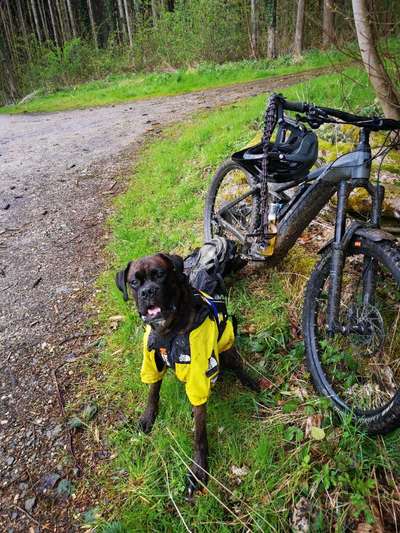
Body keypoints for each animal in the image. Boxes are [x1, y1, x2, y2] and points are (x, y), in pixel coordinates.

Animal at [115, 251, 260, 496]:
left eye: (160, 275)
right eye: (134, 282)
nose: (148, 292)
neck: (169, 331)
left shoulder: (198, 379)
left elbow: (199, 434)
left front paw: (199, 469)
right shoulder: (152, 362)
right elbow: (153, 393)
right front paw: (148, 418)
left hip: (227, 348)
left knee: (238, 365)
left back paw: (250, 381)